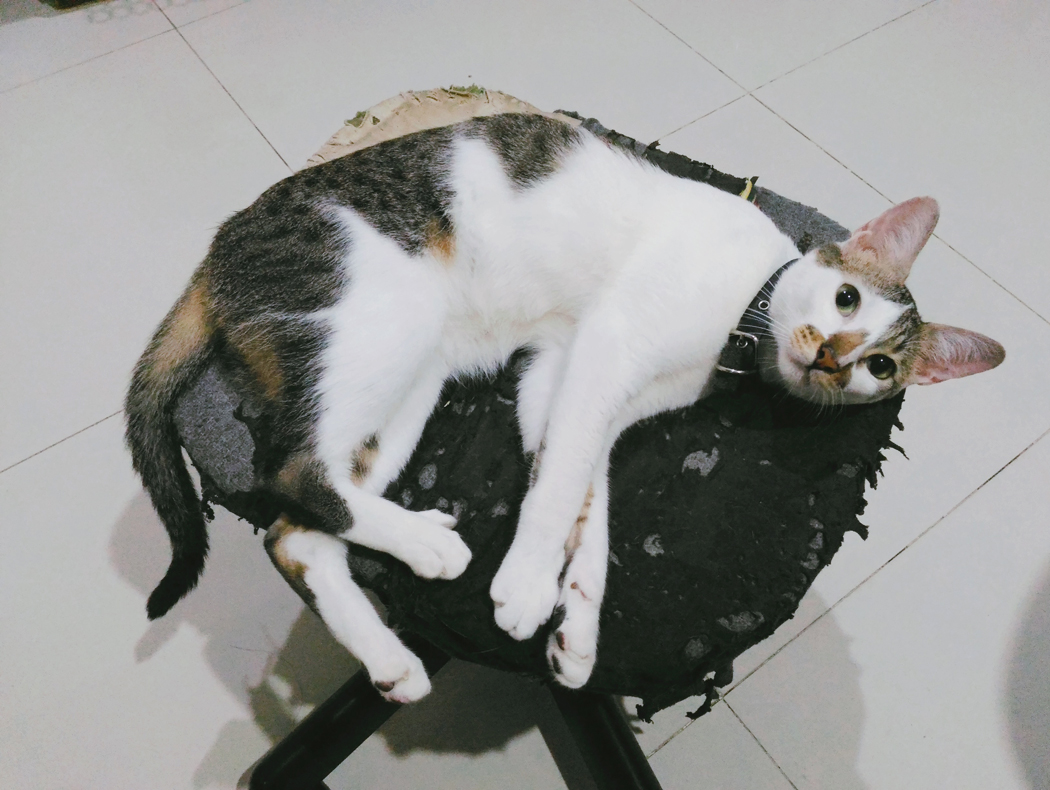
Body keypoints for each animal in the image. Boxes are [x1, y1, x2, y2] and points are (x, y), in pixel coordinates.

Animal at [125, 113, 1004, 702]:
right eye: (845, 296)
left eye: (880, 366)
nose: (829, 356)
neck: (743, 318)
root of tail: (213, 256)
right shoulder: (606, 349)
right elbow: (558, 493)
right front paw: (524, 588)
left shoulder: (562, 376)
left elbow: (586, 491)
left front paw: (577, 628)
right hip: (386, 325)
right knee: (291, 471)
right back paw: (431, 551)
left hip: (409, 381)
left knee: (297, 534)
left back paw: (394, 646)